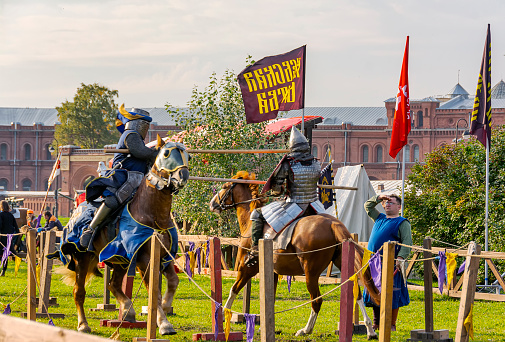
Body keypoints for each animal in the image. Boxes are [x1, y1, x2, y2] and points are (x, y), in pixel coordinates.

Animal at [60, 136, 190, 334]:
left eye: (188, 156)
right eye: (166, 153)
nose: (183, 176)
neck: (153, 214)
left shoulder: (164, 257)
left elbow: (173, 282)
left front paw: (166, 309)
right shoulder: (144, 260)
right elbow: (154, 291)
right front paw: (164, 323)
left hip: (119, 260)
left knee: (113, 284)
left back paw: (128, 310)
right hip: (82, 258)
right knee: (79, 292)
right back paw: (83, 324)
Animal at [208, 172, 378, 338]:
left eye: (225, 186)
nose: (212, 204)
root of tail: (333, 223)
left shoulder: (247, 267)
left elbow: (234, 289)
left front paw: (222, 314)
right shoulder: (272, 272)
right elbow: (270, 299)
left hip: (311, 273)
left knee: (317, 300)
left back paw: (306, 330)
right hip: (341, 263)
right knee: (357, 294)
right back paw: (370, 329)